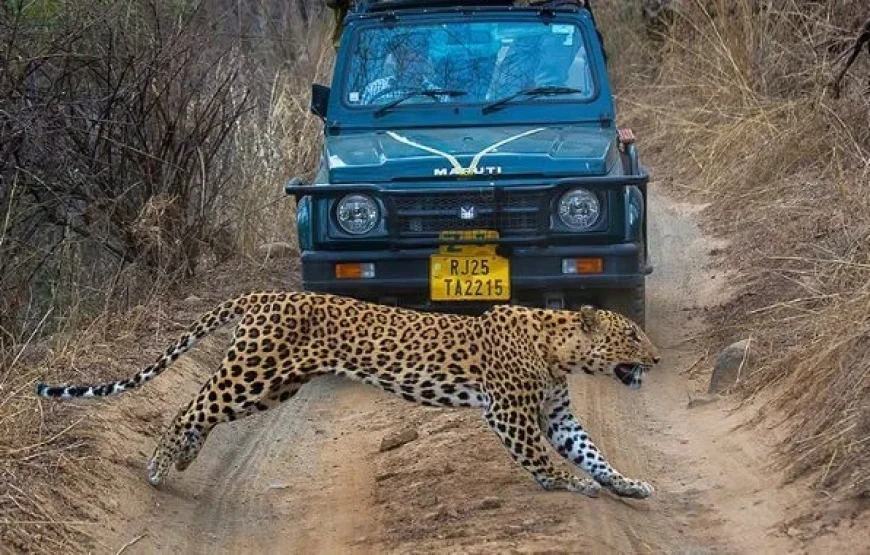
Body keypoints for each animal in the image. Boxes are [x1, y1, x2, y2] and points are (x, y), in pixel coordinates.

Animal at [36, 291, 661, 499]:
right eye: (632, 336)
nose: (656, 360)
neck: (560, 348)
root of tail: (264, 293)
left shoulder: (557, 414)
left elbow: (591, 451)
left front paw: (628, 484)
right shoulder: (509, 412)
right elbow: (542, 458)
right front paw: (572, 485)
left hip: (273, 387)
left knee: (203, 413)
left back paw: (184, 460)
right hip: (252, 373)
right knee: (190, 405)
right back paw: (160, 467)